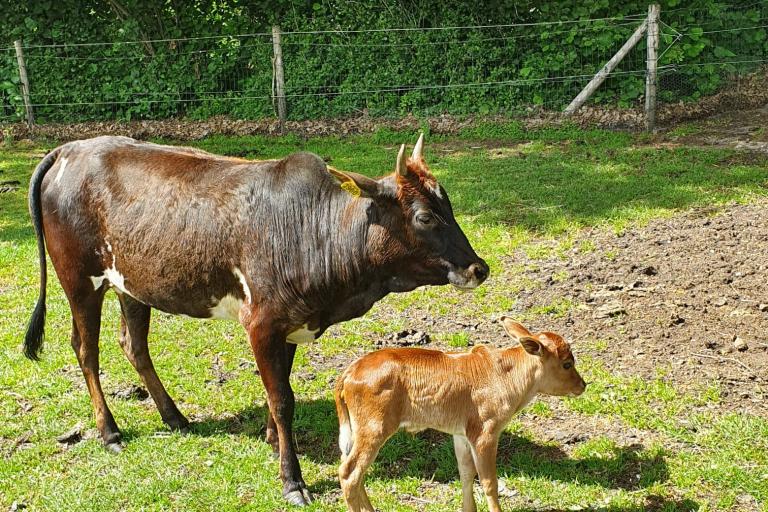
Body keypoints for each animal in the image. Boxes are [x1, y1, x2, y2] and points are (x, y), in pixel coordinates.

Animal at [28, 132, 492, 504]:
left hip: (132, 285)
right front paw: (293, 480)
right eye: (424, 216)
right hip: (79, 279)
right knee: (86, 351)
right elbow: (282, 399)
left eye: (448, 206)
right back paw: (109, 432)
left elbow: (278, 389)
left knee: (134, 345)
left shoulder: (291, 323)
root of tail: (68, 149)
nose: (478, 268)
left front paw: (272, 441)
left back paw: (174, 417)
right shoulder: (262, 323)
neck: (315, 231)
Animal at [332, 318, 584, 510]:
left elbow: (466, 474)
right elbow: (489, 482)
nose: (583, 385)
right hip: (374, 428)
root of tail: (351, 370)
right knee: (349, 473)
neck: (506, 377)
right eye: (567, 364)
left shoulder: (461, 434)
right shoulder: (485, 433)